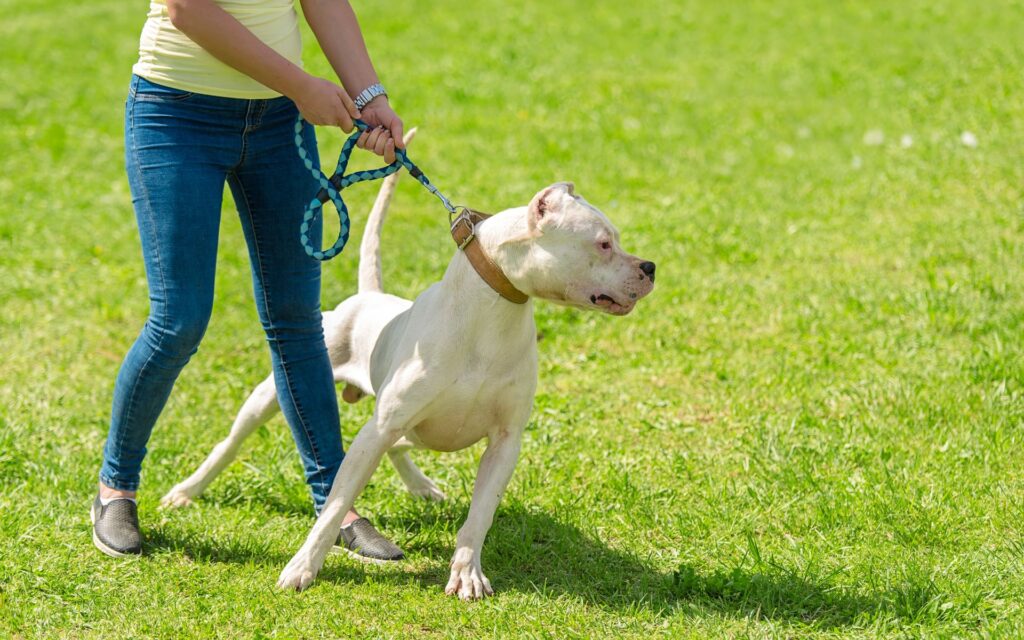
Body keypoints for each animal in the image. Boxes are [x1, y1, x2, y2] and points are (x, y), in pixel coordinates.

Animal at [159, 132, 655, 598]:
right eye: (603, 243)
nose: (650, 267)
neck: (490, 313)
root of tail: (370, 295)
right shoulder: (374, 431)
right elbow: (334, 507)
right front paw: (303, 567)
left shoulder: (504, 442)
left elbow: (479, 516)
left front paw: (467, 573)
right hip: (276, 396)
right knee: (231, 444)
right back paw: (186, 491)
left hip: (415, 428)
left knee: (400, 448)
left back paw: (421, 487)